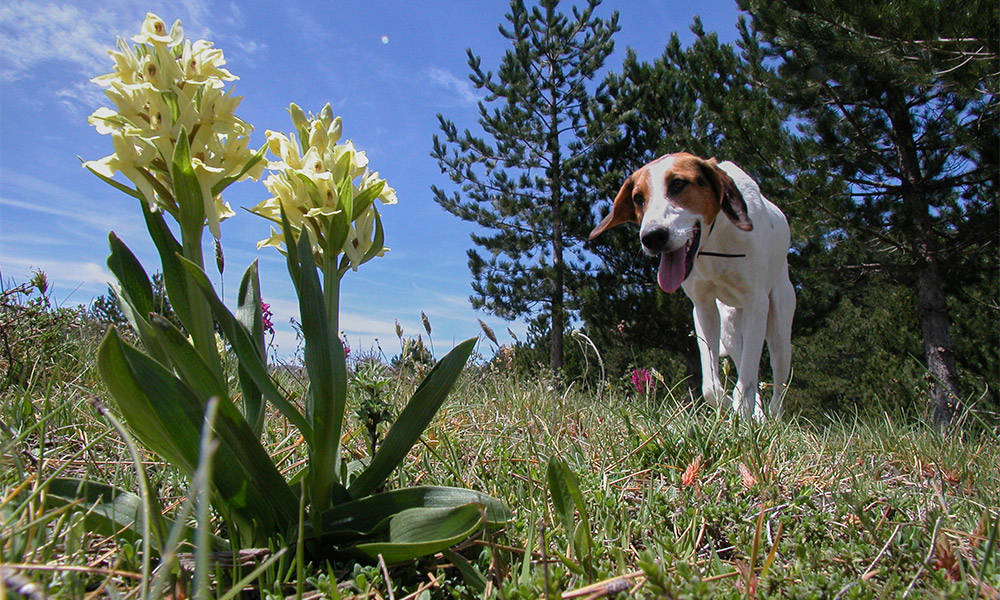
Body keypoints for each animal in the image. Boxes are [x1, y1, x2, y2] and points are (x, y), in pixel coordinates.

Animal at [588, 152, 792, 420]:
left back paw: (771, 418)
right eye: (638, 198)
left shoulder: (756, 303)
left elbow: (747, 380)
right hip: (730, 328)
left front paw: (740, 414)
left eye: (678, 184)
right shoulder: (703, 308)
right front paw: (730, 406)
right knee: (744, 369)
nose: (652, 237)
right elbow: (711, 387)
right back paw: (753, 413)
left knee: (778, 389)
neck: (714, 242)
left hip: (779, 330)